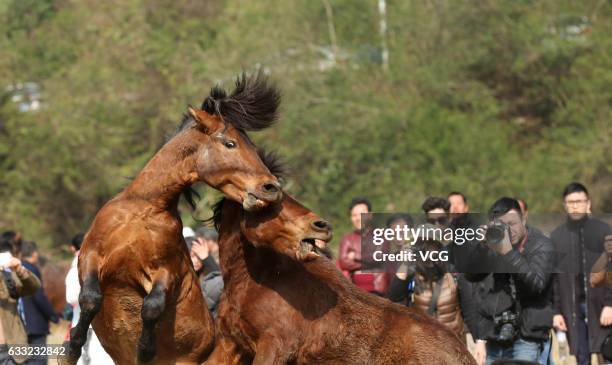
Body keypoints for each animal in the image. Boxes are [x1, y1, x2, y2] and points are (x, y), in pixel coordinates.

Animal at [61, 74, 282, 364]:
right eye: (230, 143)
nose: (271, 187)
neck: (144, 209)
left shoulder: (167, 270)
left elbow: (152, 307)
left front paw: (145, 350)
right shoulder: (90, 256)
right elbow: (89, 298)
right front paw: (72, 347)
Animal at [203, 165, 476, 364]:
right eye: (269, 199)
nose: (321, 226)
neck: (256, 281)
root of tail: (463, 355)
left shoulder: (275, 345)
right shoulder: (231, 344)